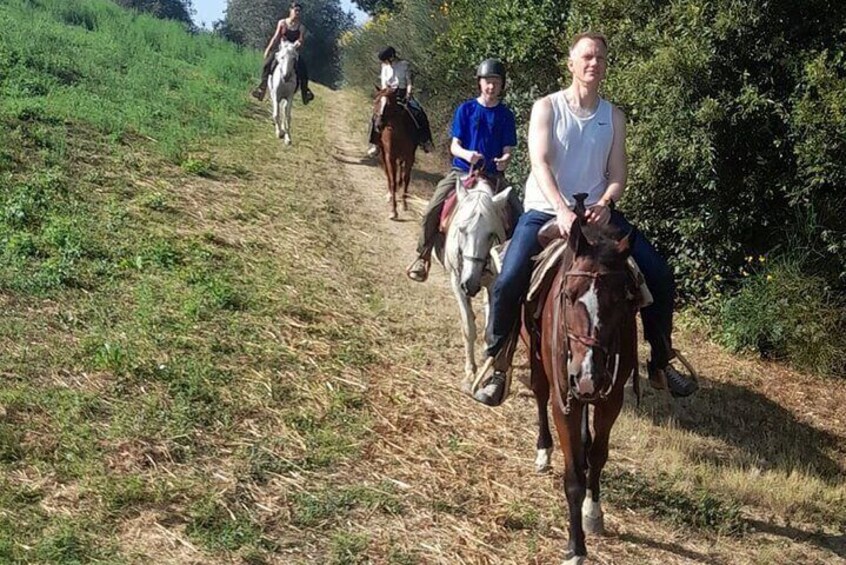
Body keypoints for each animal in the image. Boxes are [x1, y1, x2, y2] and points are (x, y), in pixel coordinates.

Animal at [374, 88, 420, 220]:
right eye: (376, 101)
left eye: (389, 105)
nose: (378, 125)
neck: (398, 134)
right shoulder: (391, 157)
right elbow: (393, 181)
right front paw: (393, 211)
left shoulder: (410, 157)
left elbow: (406, 179)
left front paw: (404, 204)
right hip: (384, 154)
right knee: (388, 174)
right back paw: (389, 195)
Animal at [444, 175, 516, 388]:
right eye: (461, 230)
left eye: (491, 234)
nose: (470, 283)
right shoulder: (456, 282)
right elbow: (469, 327)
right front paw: (470, 371)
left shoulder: (492, 285)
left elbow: (489, 328)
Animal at [528, 195, 640, 564]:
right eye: (567, 294)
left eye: (620, 300)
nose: (588, 375)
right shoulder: (565, 400)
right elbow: (574, 474)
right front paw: (576, 547)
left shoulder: (611, 399)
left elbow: (598, 456)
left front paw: (593, 511)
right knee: (539, 394)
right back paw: (543, 451)